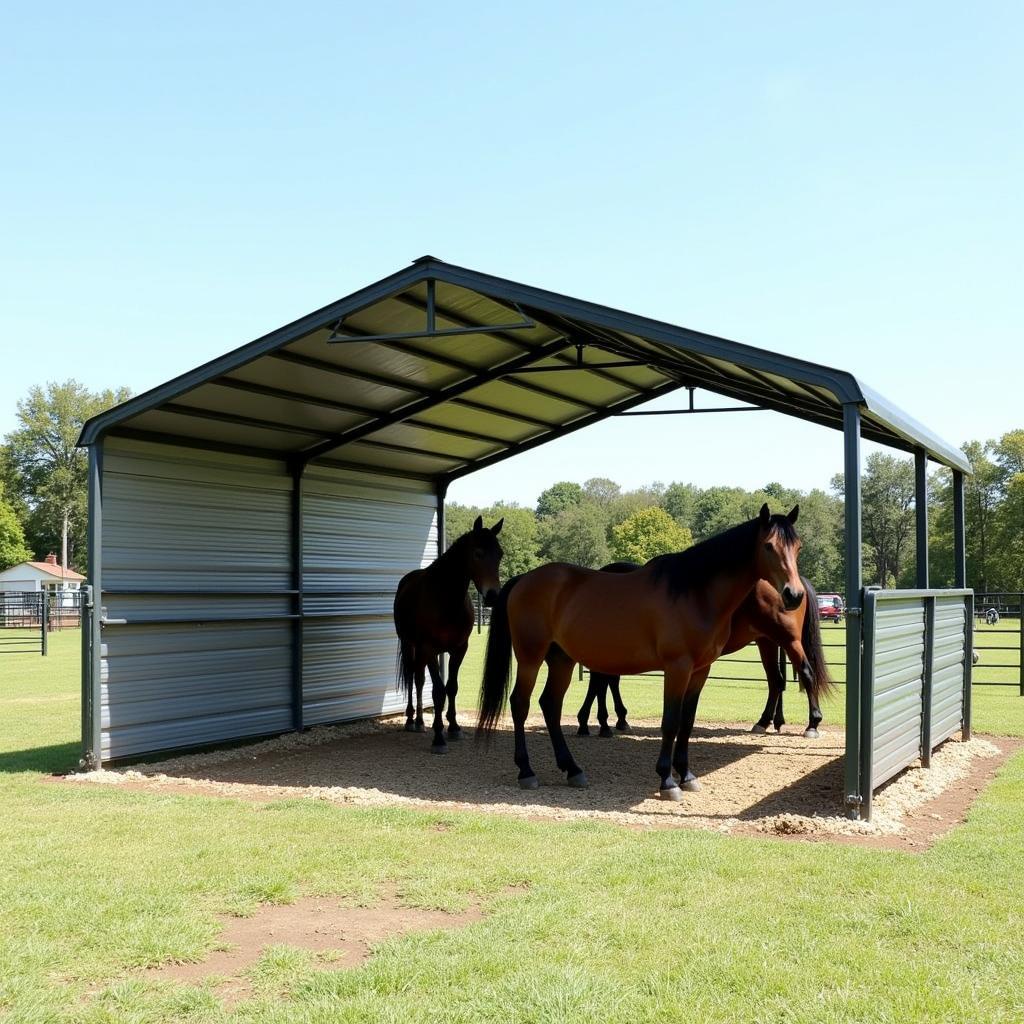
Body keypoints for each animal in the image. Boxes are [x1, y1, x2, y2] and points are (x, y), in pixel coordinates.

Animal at [391, 516, 503, 757]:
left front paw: (453, 728)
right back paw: (412, 720)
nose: (493, 596)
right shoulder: (430, 649)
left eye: (499, 554)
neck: (446, 600)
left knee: (419, 679)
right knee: (415, 679)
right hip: (409, 644)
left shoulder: (459, 649)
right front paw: (439, 738)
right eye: (478, 553)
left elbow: (452, 687)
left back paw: (421, 722)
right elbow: (438, 692)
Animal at [475, 503, 802, 798]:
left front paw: (686, 775)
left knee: (550, 705)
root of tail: (524, 579)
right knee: (520, 704)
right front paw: (667, 781)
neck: (694, 591)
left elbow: (687, 722)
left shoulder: (700, 670)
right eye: (769, 546)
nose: (794, 595)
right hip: (530, 657)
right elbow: (670, 722)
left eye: (797, 546)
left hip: (561, 660)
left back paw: (573, 770)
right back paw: (526, 772)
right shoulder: (677, 667)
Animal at [577, 573, 831, 741]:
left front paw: (598, 721)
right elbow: (604, 682)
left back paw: (813, 723)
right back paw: (763, 722)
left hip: (789, 640)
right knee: (776, 681)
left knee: (806, 674)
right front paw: (606, 720)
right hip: (767, 641)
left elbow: (601, 682)